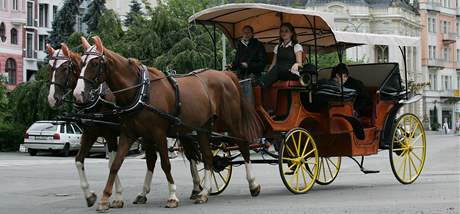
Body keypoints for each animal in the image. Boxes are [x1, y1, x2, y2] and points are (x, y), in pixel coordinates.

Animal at [46, 43, 158, 207]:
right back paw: (143, 193)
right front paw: (89, 195)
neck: (97, 97)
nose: (52, 99)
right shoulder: (90, 133)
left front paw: (117, 197)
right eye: (49, 68)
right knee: (152, 158)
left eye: (65, 68)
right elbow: (78, 160)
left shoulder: (110, 134)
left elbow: (112, 163)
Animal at [73, 36, 262, 211]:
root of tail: (226, 75)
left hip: (232, 122)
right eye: (80, 63)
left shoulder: (158, 134)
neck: (140, 91)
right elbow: (116, 164)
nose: (78, 94)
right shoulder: (128, 133)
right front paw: (105, 199)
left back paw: (253, 184)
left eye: (94, 63)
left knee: (243, 146)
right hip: (203, 128)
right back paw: (204, 192)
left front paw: (172, 196)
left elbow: (165, 164)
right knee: (208, 157)